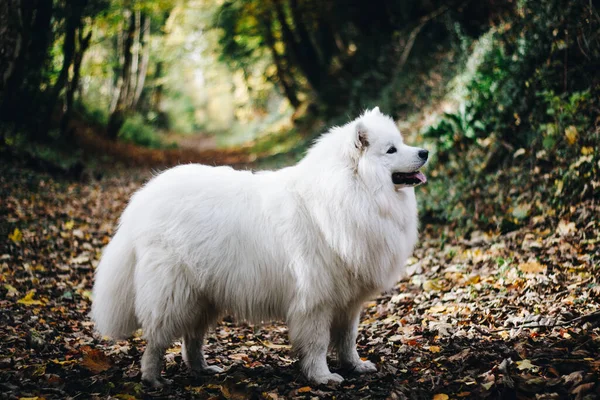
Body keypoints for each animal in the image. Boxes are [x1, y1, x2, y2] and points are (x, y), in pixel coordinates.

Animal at [91, 108, 428, 386]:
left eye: (401, 143)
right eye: (391, 149)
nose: (425, 151)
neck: (351, 192)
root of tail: (143, 200)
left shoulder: (348, 301)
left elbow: (347, 340)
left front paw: (355, 366)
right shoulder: (316, 300)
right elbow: (318, 343)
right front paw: (323, 377)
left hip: (202, 295)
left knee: (192, 339)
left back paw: (202, 369)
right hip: (174, 293)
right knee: (157, 339)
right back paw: (152, 379)